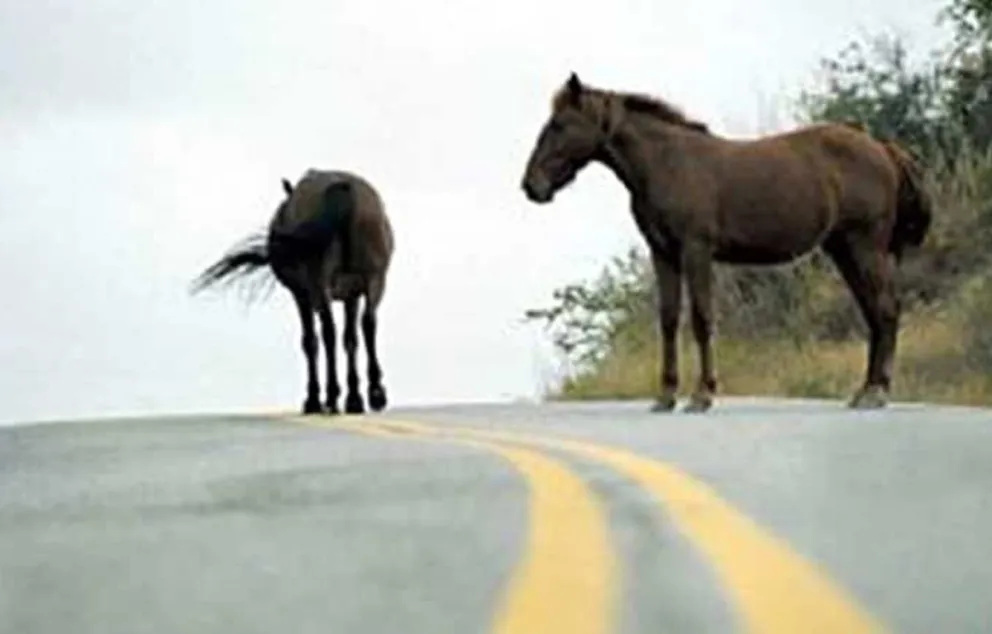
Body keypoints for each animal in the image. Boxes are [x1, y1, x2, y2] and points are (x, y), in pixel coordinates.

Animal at [191, 168, 395, 416]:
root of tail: (343, 188)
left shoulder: (302, 295)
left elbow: (310, 341)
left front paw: (314, 398)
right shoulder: (351, 294)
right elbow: (351, 339)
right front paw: (354, 397)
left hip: (320, 285)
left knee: (328, 331)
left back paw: (331, 396)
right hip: (374, 278)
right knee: (367, 323)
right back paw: (374, 393)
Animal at [520, 72, 932, 412]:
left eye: (559, 125)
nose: (531, 186)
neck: (667, 162)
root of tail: (883, 148)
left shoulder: (696, 251)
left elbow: (702, 318)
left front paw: (702, 395)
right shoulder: (663, 254)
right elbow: (668, 320)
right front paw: (666, 396)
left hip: (865, 248)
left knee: (886, 310)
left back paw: (876, 392)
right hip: (844, 250)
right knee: (874, 312)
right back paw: (865, 390)